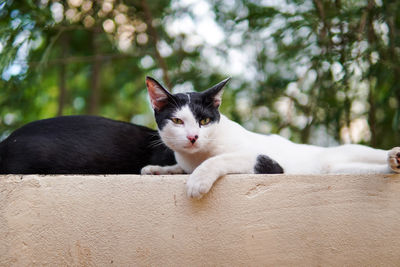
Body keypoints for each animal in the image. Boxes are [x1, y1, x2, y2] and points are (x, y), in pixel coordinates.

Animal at [141, 77, 400, 199]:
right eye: (177, 121)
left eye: (204, 121)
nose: (193, 137)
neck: (196, 156)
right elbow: (179, 167)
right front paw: (157, 169)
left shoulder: (268, 163)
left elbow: (219, 159)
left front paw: (198, 180)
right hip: (340, 169)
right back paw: (392, 164)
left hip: (352, 151)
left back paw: (394, 155)